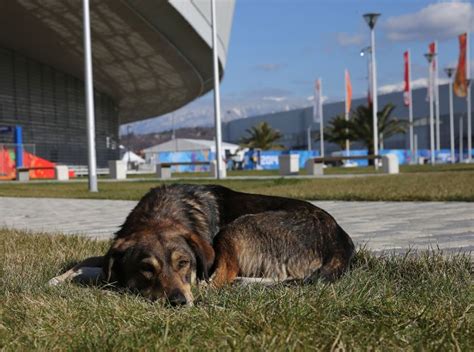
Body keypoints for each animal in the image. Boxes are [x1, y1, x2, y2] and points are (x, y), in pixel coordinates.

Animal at [50, 184, 354, 306]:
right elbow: (93, 263)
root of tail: (340, 240)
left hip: (236, 228)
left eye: (184, 263)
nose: (178, 302)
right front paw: (61, 277)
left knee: (221, 279)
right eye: (146, 269)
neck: (160, 213)